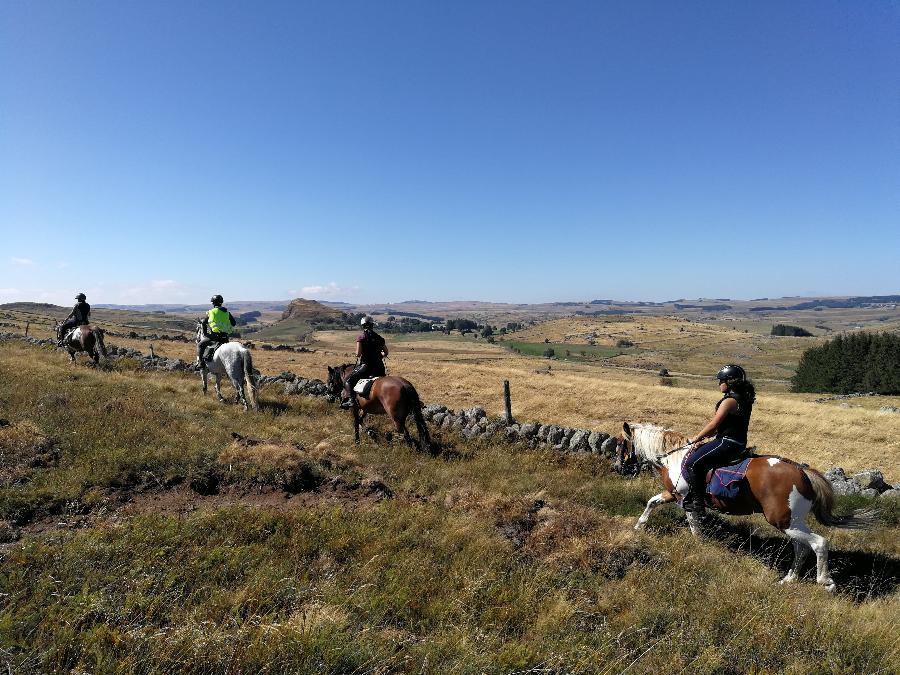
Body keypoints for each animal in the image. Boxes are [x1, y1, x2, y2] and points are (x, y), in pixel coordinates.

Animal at [616, 422, 876, 592]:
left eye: (620, 445)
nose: (618, 467)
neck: (674, 458)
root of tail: (802, 472)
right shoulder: (672, 495)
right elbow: (652, 503)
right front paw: (639, 526)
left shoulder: (681, 497)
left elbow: (693, 525)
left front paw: (699, 544)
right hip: (792, 522)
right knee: (801, 549)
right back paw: (789, 580)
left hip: (783, 521)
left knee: (819, 543)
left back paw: (825, 582)